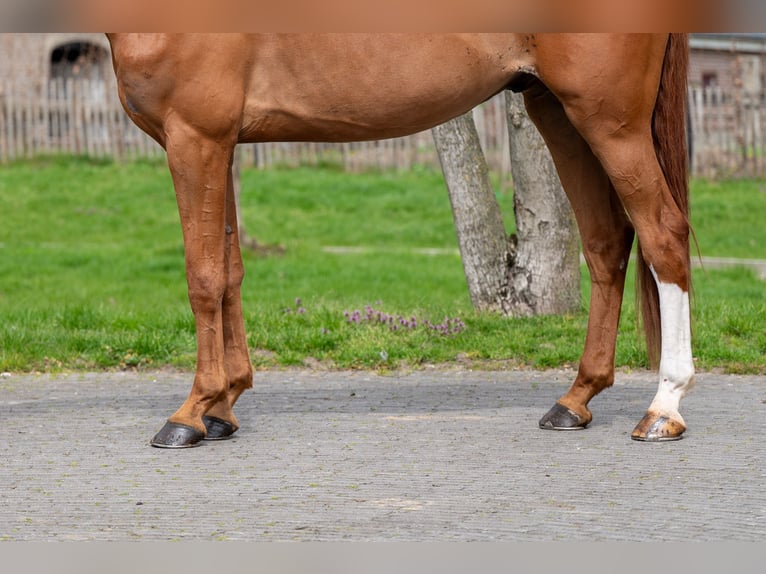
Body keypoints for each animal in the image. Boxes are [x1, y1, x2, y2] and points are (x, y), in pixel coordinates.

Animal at [106, 33, 694, 448]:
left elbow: (203, 276)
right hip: (558, 112)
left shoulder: (196, 139)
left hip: (610, 123)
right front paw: (221, 409)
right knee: (607, 243)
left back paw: (663, 409)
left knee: (663, 235)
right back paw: (575, 400)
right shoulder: (220, 142)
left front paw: (190, 414)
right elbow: (229, 272)